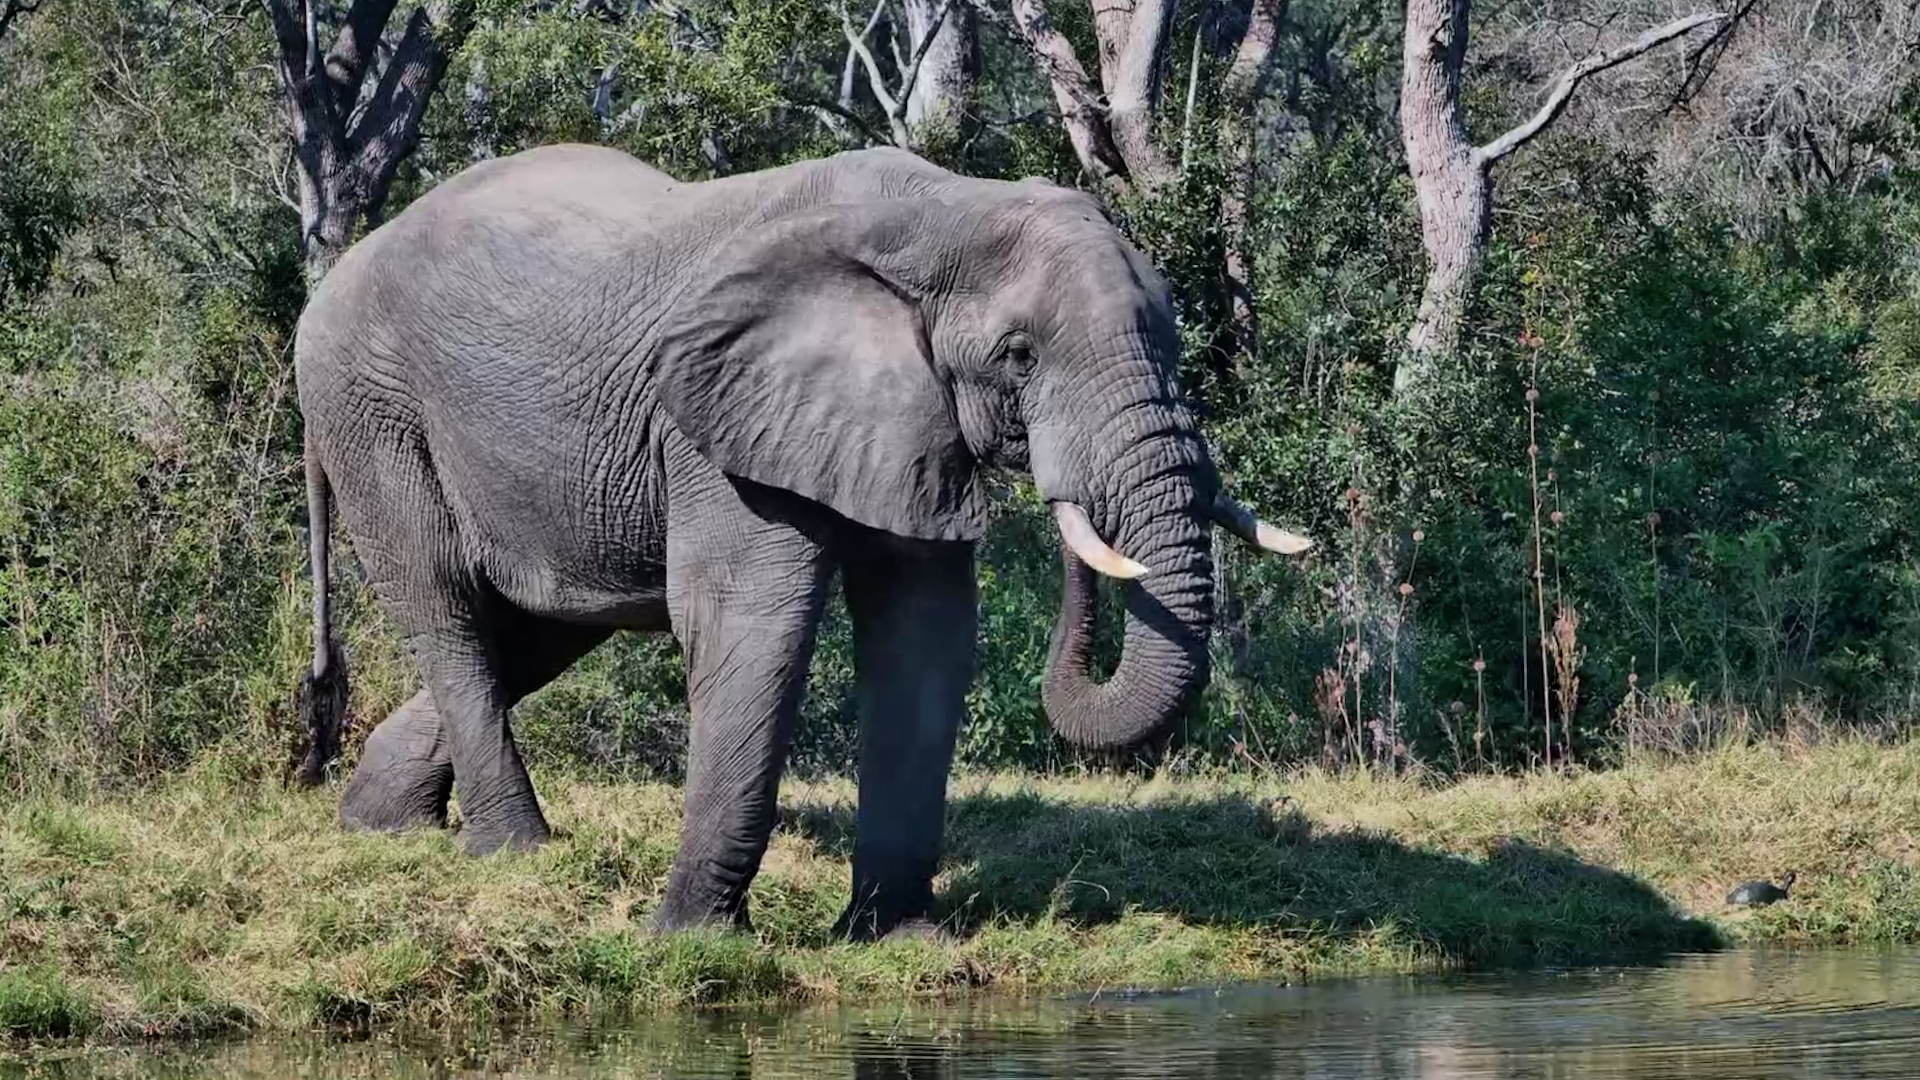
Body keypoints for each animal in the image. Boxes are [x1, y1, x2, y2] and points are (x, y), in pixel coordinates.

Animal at [291, 142, 1311, 940]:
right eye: (1019, 356)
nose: (1081, 516)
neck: (945, 210)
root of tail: (330, 279)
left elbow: (925, 637)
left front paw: (898, 940)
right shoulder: (715, 426)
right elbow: (753, 625)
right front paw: (691, 942)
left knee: (537, 629)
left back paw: (378, 824)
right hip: (370, 409)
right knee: (448, 611)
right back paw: (517, 853)